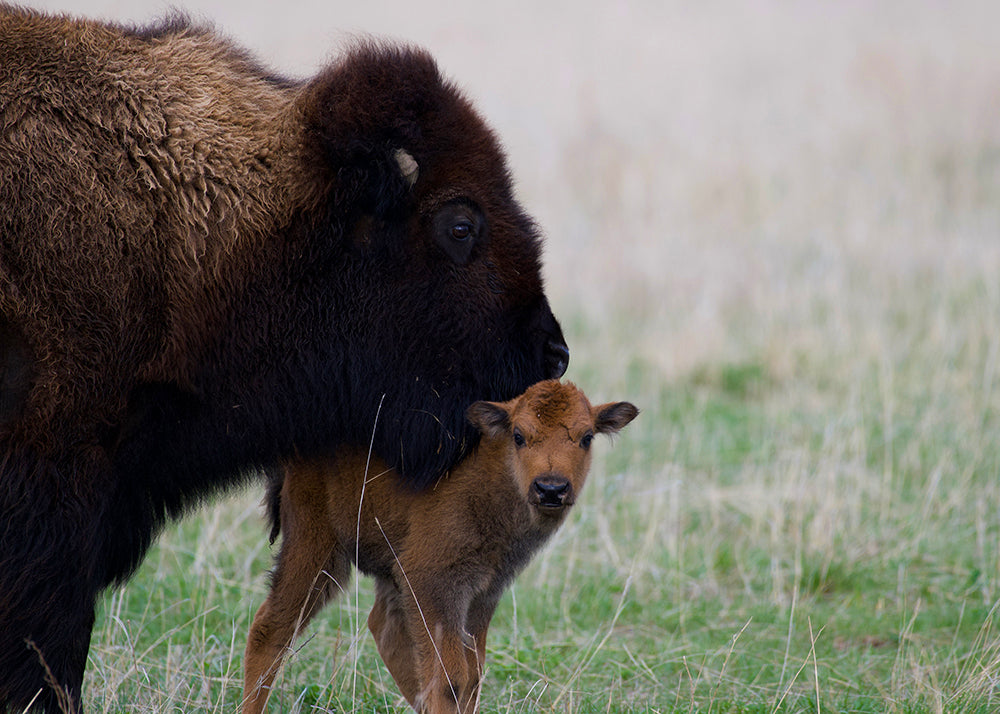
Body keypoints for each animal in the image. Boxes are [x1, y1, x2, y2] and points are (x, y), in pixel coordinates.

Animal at [244, 382, 640, 712]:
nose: (551, 489)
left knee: (382, 626)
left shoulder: (482, 594)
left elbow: (472, 673)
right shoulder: (432, 584)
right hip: (316, 549)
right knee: (271, 629)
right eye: (519, 435)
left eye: (586, 437)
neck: (492, 479)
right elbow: (451, 678)